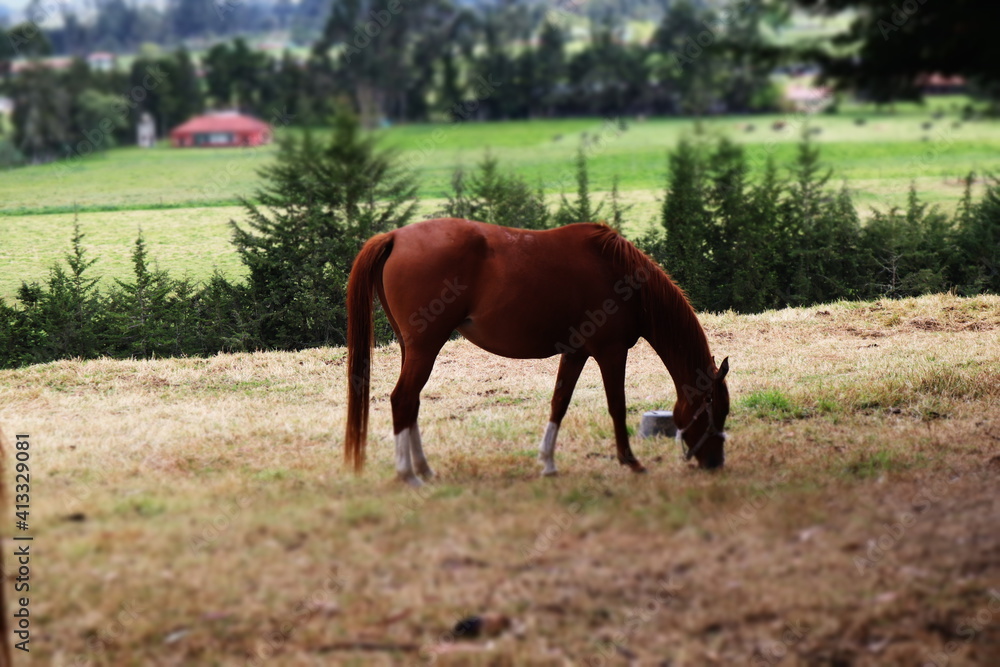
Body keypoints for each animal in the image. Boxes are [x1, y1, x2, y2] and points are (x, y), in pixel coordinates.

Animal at [348, 219, 732, 486]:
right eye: (715, 408)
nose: (715, 463)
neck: (620, 274)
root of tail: (396, 237)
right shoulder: (610, 353)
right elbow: (617, 406)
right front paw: (631, 461)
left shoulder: (576, 353)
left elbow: (559, 403)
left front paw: (547, 462)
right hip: (425, 348)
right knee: (402, 400)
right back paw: (408, 474)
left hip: (411, 349)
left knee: (411, 403)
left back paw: (424, 469)